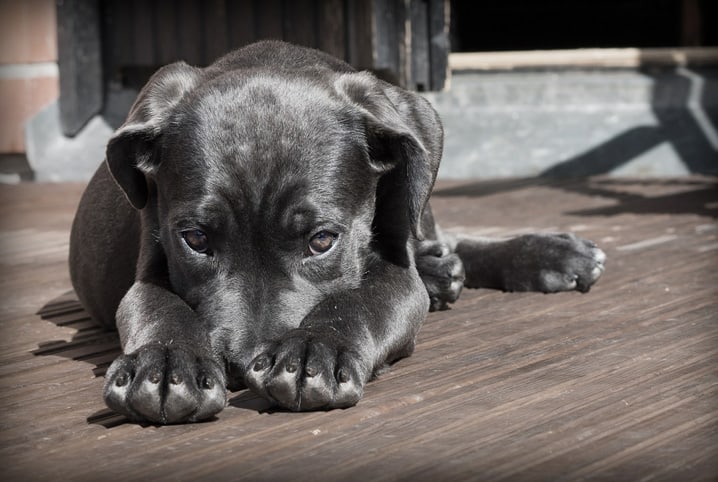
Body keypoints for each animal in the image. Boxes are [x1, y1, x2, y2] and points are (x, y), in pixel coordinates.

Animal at [69, 42, 608, 426]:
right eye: (196, 240)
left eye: (322, 241)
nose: (242, 366)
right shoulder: (150, 263)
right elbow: (158, 307)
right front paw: (164, 364)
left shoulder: (395, 271)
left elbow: (360, 300)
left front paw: (314, 349)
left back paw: (546, 255)